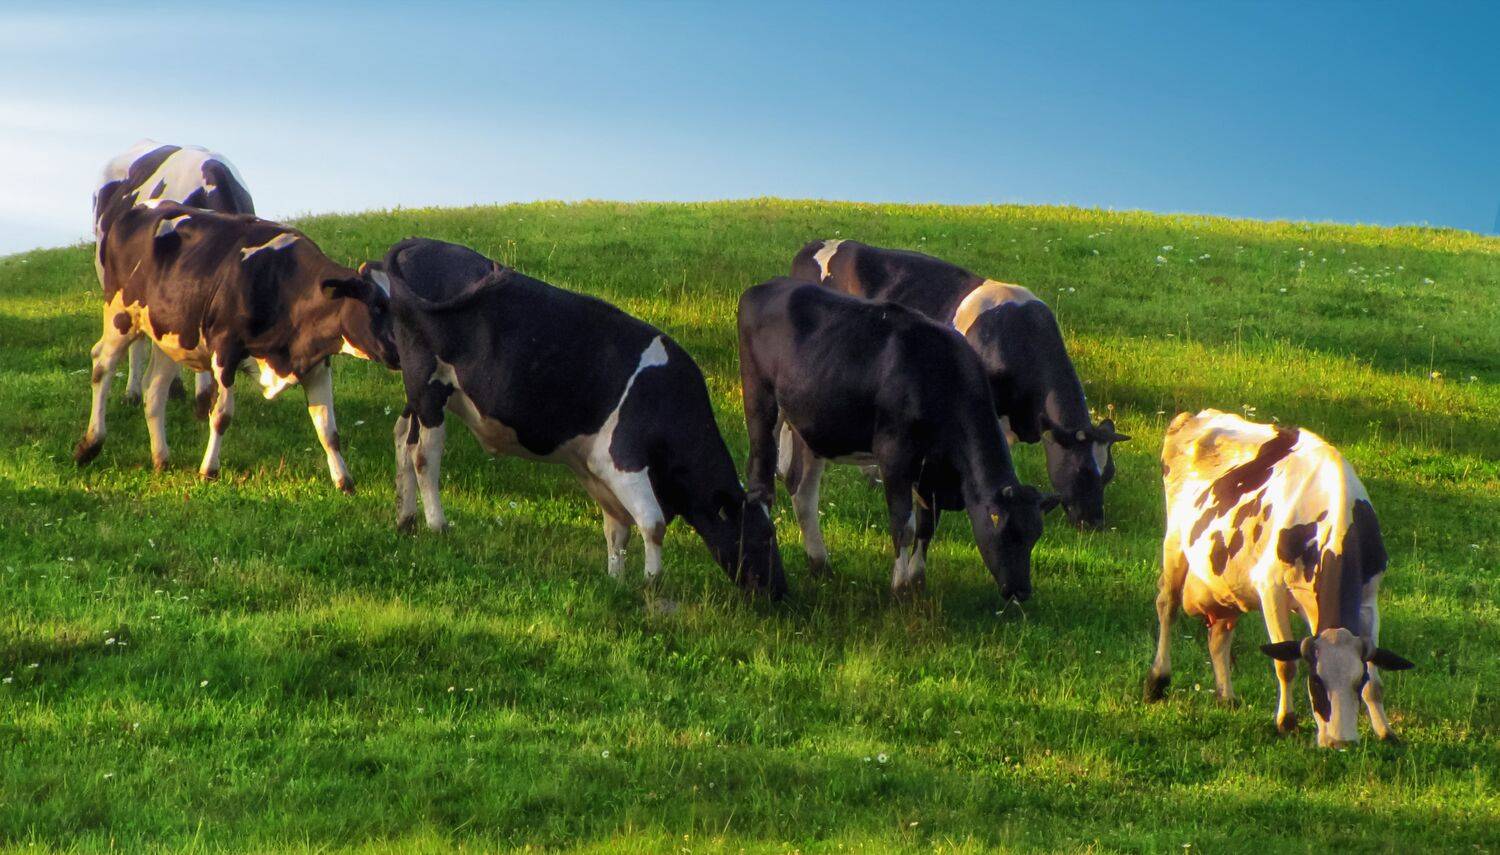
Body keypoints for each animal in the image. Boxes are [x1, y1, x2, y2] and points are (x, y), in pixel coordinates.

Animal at [74, 200, 398, 493]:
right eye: (376, 305)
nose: (398, 354)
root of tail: (137, 208)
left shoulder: (316, 364)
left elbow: (328, 429)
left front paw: (344, 481)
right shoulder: (225, 350)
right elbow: (221, 416)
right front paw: (209, 470)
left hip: (170, 336)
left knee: (154, 389)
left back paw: (161, 459)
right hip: (121, 314)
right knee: (102, 364)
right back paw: (90, 445)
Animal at [378, 237, 785, 598]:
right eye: (764, 536)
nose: (780, 591)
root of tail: (418, 242)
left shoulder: (595, 466)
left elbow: (617, 529)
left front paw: (616, 581)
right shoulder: (622, 457)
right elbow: (651, 523)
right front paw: (652, 582)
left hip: (418, 393)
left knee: (402, 438)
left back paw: (405, 520)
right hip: (430, 387)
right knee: (424, 454)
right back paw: (437, 524)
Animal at [738, 277, 1056, 601]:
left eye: (1035, 535)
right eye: (1008, 533)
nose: (1021, 591)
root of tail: (765, 287)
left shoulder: (932, 471)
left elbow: (927, 527)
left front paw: (917, 582)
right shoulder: (894, 456)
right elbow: (904, 526)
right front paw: (899, 588)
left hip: (810, 424)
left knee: (802, 489)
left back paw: (820, 564)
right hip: (760, 402)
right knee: (761, 481)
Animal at [1144, 409, 1414, 748]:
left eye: (1357, 680)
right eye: (1316, 681)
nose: (1340, 743)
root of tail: (1197, 415)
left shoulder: (1369, 599)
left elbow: (1375, 679)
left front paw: (1385, 731)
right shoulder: (1270, 588)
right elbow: (1285, 663)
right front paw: (1287, 722)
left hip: (1228, 585)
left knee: (1218, 634)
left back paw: (1226, 696)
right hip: (1175, 544)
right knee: (1167, 606)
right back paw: (1157, 680)